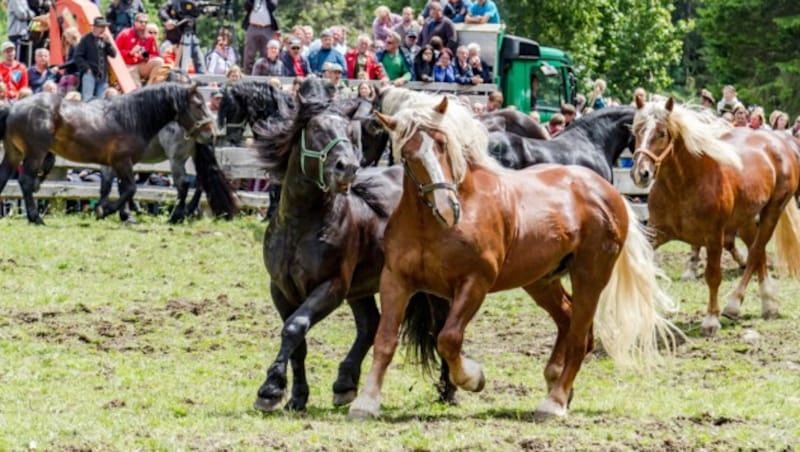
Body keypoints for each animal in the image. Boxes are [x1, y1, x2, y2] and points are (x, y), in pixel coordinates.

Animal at [0, 83, 216, 224]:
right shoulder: (122, 161)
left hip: (14, 153)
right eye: (198, 105)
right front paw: (105, 211)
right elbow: (130, 189)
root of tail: (14, 107)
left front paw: (112, 212)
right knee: (26, 182)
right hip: (35, 153)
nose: (211, 133)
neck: (131, 117)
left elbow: (115, 188)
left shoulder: (118, 163)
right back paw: (36, 218)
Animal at [253, 78, 460, 414]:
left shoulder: (332, 286)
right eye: (316, 130)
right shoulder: (281, 290)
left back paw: (448, 390)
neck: (300, 225)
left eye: (351, 134)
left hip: (427, 289)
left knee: (439, 326)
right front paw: (296, 397)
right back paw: (345, 383)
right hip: (361, 288)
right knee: (369, 325)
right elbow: (298, 343)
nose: (346, 168)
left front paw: (270, 389)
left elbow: (296, 327)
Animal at [632, 96, 800, 336]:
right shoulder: (656, 233)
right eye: (636, 130)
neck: (683, 185)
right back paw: (767, 304)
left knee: (756, 251)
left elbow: (713, 276)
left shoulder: (713, 236)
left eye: (662, 133)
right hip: (746, 219)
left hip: (772, 211)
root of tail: (780, 143)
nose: (641, 174)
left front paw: (711, 320)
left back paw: (736, 304)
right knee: (757, 251)